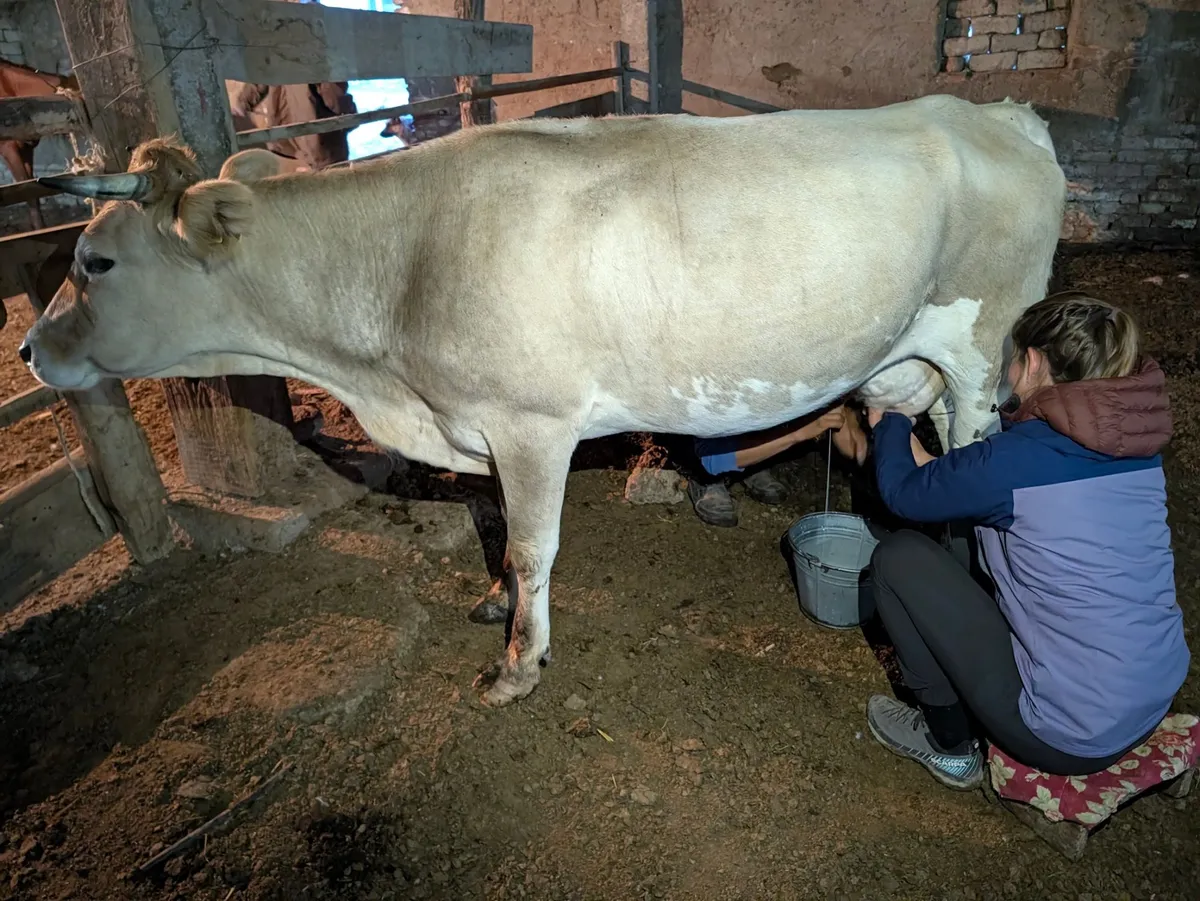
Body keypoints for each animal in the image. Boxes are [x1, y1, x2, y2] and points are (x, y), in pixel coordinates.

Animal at [19, 94, 1066, 708]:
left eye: (94, 260)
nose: (30, 348)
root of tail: (996, 110)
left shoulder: (532, 424)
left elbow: (532, 544)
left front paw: (519, 662)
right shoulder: (476, 425)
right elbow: (493, 527)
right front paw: (492, 602)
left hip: (981, 350)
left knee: (977, 457)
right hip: (922, 361)